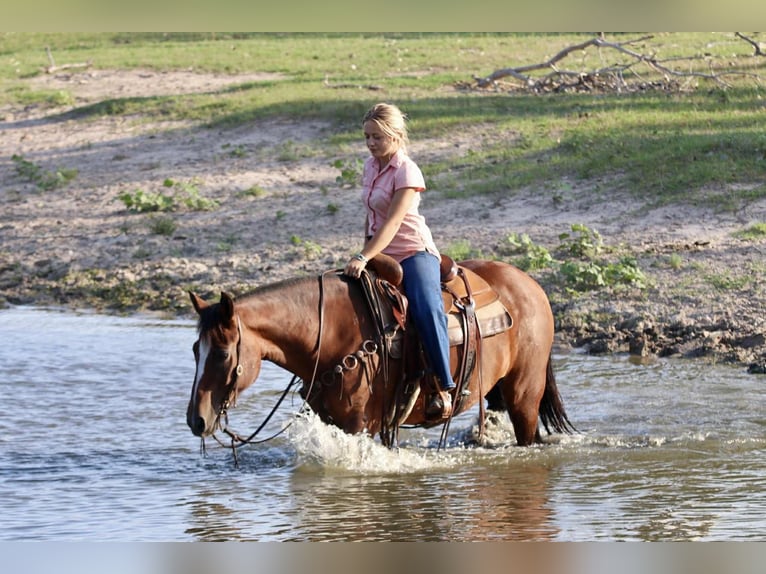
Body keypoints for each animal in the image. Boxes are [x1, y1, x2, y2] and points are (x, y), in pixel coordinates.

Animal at [187, 259, 575, 449]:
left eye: (221, 353)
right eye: (194, 351)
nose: (196, 420)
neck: (330, 333)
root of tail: (531, 285)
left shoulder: (361, 425)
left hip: (524, 394)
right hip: (495, 393)